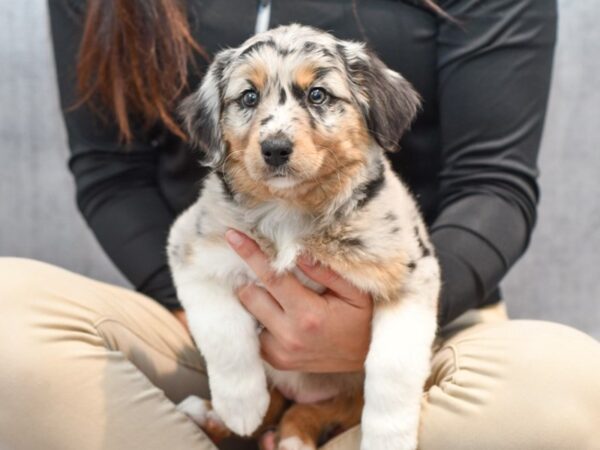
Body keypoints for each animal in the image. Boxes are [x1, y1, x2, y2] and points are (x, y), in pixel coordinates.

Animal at [169, 25, 440, 450]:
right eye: (249, 96)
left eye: (318, 94)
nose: (275, 149)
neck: (289, 213)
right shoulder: (191, 249)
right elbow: (222, 332)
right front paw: (240, 405)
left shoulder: (412, 276)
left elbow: (392, 367)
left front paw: (388, 438)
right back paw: (211, 414)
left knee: (311, 413)